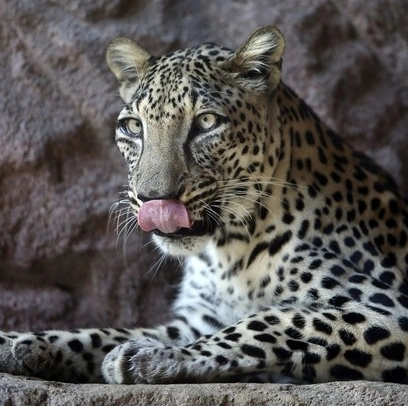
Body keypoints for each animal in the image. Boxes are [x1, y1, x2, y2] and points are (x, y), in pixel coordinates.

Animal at [1, 26, 408, 385]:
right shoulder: (198, 319)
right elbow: (103, 332)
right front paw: (18, 341)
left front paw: (151, 356)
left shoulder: (387, 308)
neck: (232, 251)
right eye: (133, 127)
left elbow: (271, 322)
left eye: (207, 122)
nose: (153, 199)